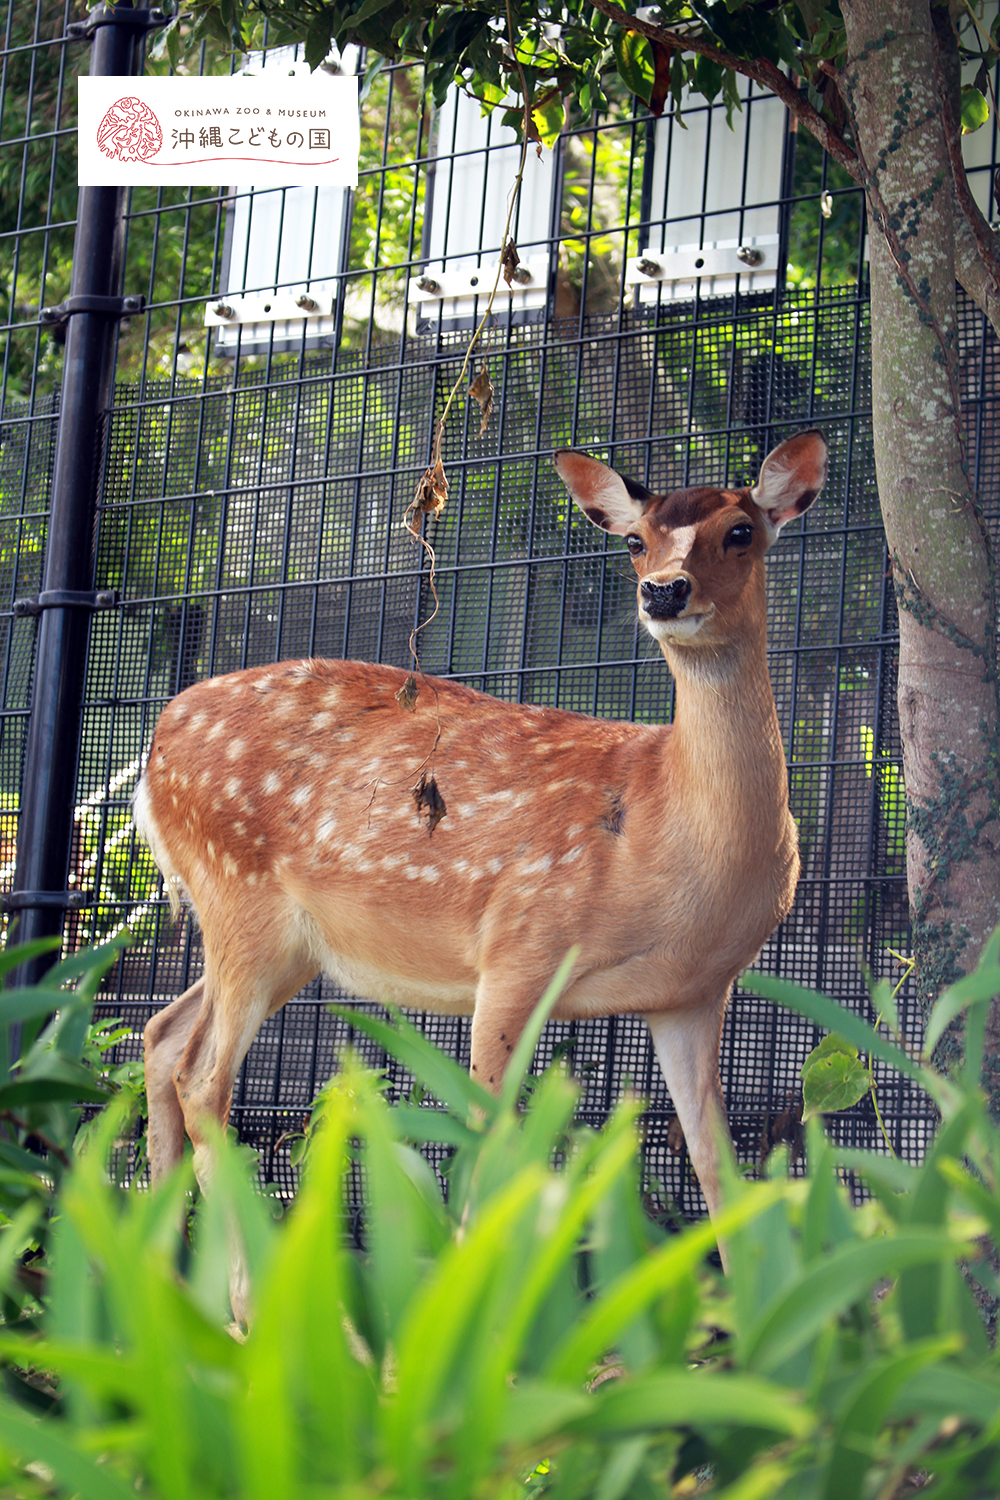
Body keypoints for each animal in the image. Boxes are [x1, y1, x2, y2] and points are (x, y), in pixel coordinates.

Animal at [134, 429, 827, 1308]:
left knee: (160, 1035)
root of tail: (154, 744)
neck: (666, 831)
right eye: (635, 542)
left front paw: (750, 1324)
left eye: (742, 532)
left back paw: (161, 1291)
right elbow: (492, 1145)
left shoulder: (693, 992)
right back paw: (247, 1310)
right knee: (201, 1077)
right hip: (238, 896)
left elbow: (715, 1160)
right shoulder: (519, 941)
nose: (665, 592)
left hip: (286, 942)